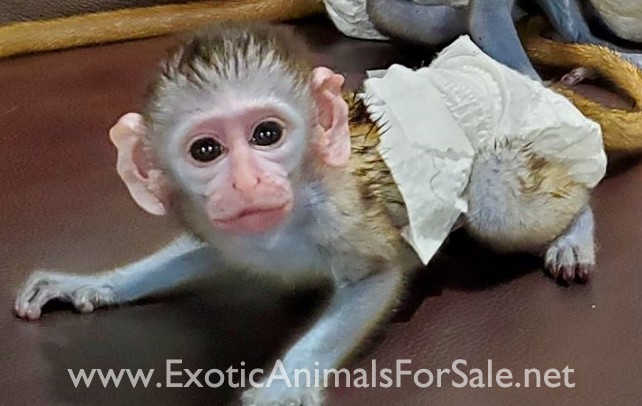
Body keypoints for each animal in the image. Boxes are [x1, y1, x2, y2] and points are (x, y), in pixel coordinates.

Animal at [13, 23, 609, 405]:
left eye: (267, 135)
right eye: (206, 151)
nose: (247, 183)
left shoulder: (340, 213)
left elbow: (377, 276)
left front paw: (280, 389)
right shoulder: (220, 228)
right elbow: (205, 253)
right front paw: (92, 283)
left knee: (499, 197)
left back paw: (574, 227)